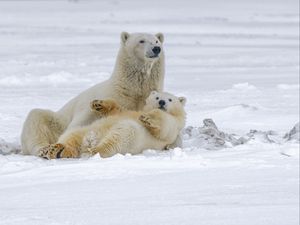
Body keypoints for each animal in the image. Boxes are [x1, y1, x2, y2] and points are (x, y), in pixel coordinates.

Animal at [21, 32, 169, 156]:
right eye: (141, 40)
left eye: (156, 40)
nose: (156, 48)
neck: (131, 91)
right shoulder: (105, 100)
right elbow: (81, 123)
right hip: (56, 122)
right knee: (36, 118)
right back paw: (43, 148)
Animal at [37, 90, 186, 159]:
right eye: (157, 97)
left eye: (170, 99)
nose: (162, 102)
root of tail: (91, 140)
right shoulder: (126, 112)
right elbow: (116, 109)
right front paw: (97, 103)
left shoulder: (174, 126)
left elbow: (164, 126)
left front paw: (147, 118)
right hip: (86, 129)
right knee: (71, 137)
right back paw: (53, 150)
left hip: (131, 136)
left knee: (118, 138)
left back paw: (92, 151)